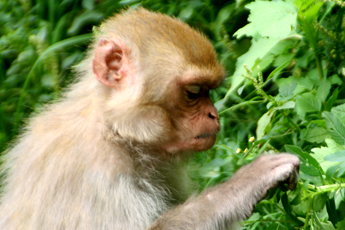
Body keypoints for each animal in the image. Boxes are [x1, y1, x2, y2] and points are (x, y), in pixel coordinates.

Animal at [0, 8, 298, 230]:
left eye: (209, 92)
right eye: (194, 92)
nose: (214, 114)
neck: (115, 131)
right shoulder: (94, 170)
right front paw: (243, 185)